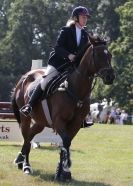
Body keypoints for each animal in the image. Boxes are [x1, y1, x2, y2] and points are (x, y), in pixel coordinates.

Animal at [11, 36, 115, 182]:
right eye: (98, 55)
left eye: (110, 55)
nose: (110, 77)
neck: (75, 88)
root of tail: (24, 77)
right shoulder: (59, 121)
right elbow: (65, 142)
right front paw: (65, 171)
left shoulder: (75, 123)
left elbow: (65, 144)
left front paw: (60, 172)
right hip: (26, 117)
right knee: (26, 137)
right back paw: (25, 164)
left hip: (40, 122)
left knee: (30, 136)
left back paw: (21, 161)